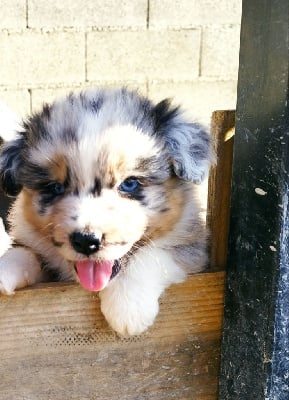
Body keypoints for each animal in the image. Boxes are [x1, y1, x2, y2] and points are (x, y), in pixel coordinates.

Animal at [0, 87, 213, 334]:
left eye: (129, 183)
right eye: (55, 187)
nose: (86, 241)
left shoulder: (194, 248)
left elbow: (154, 253)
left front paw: (128, 310)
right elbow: (25, 250)